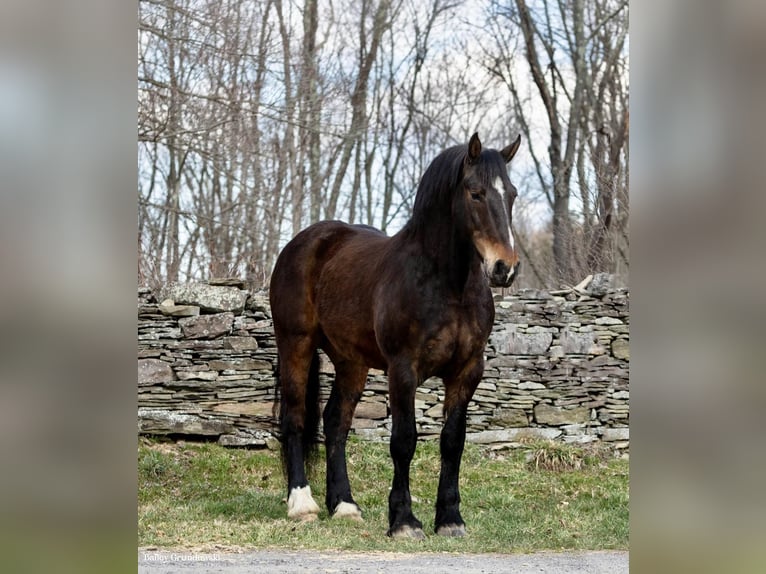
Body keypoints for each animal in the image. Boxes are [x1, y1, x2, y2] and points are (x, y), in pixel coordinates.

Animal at [268, 132, 520, 540]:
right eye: (476, 193)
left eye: (511, 193)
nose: (504, 268)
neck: (447, 287)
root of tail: (305, 242)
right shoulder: (403, 370)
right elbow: (404, 441)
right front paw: (403, 520)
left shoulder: (467, 371)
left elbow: (453, 441)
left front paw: (450, 518)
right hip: (296, 344)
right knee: (295, 418)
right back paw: (302, 504)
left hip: (351, 362)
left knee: (336, 422)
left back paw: (345, 506)